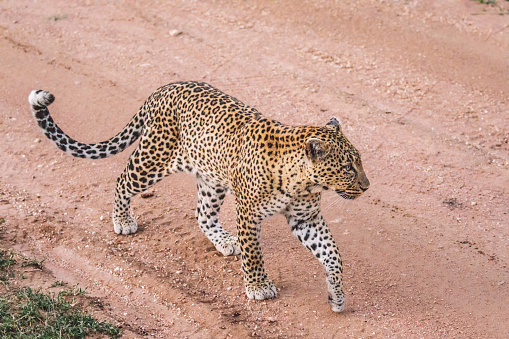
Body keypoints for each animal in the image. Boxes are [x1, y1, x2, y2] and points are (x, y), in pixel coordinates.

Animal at [28, 81, 370, 312]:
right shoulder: (249, 214)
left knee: (203, 215)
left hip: (211, 178)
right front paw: (258, 287)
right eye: (347, 167)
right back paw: (122, 220)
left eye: (360, 161)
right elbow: (254, 253)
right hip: (153, 160)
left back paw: (225, 240)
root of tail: (163, 89)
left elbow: (333, 254)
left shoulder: (306, 219)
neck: (303, 182)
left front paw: (336, 295)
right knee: (122, 180)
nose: (367, 186)